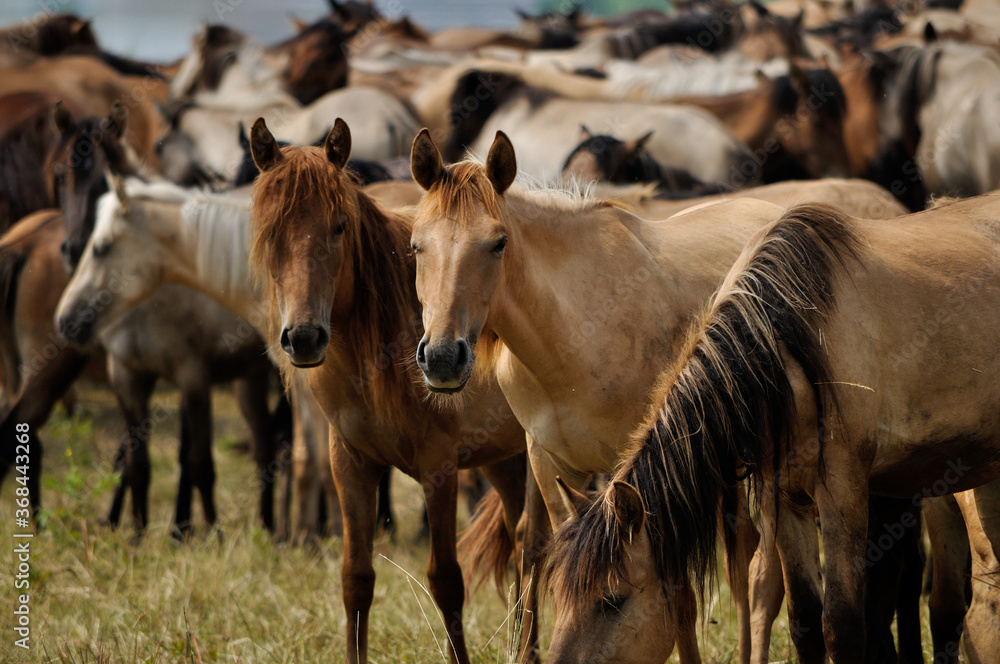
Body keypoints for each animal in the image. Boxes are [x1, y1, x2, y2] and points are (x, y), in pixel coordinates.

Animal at [247, 118, 542, 664]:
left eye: (339, 226)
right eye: (270, 232)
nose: (304, 337)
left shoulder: (439, 468)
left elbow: (446, 581)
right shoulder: (350, 462)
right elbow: (356, 579)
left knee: (535, 544)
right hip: (503, 457)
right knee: (518, 539)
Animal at [407, 130, 910, 662]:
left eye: (498, 243)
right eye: (416, 246)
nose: (442, 357)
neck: (570, 326)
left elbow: (679, 596)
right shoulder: (549, 462)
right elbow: (549, 554)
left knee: (758, 576)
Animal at [543, 198, 1000, 663]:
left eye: (612, 600)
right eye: (558, 598)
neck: (786, 344)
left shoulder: (843, 488)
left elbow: (842, 626)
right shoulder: (782, 495)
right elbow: (805, 622)